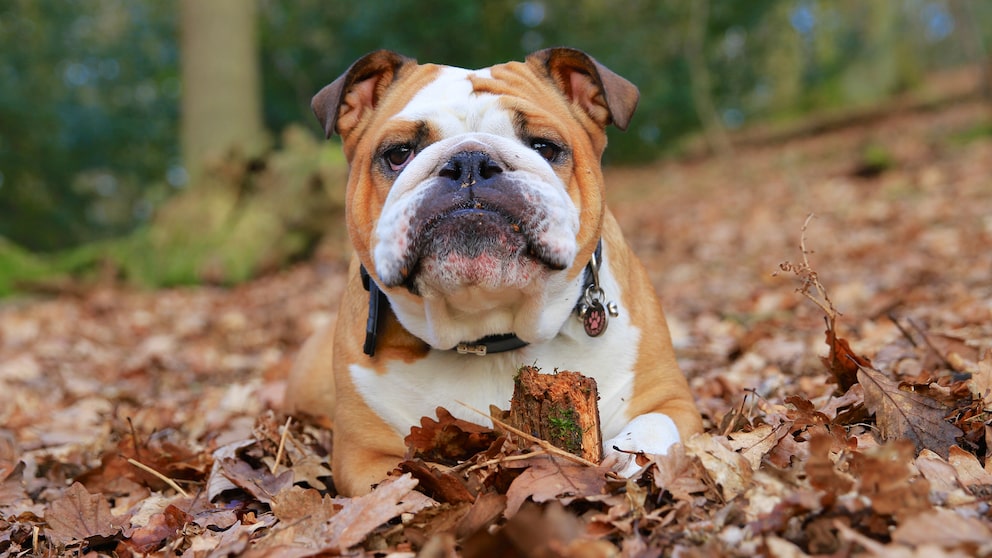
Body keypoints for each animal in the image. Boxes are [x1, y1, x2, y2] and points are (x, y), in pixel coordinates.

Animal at [284, 46, 704, 496]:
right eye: (398, 154)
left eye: (544, 147)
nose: (469, 161)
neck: (487, 331)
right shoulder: (363, 457)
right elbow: (408, 481)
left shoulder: (671, 401)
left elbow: (654, 427)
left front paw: (626, 460)